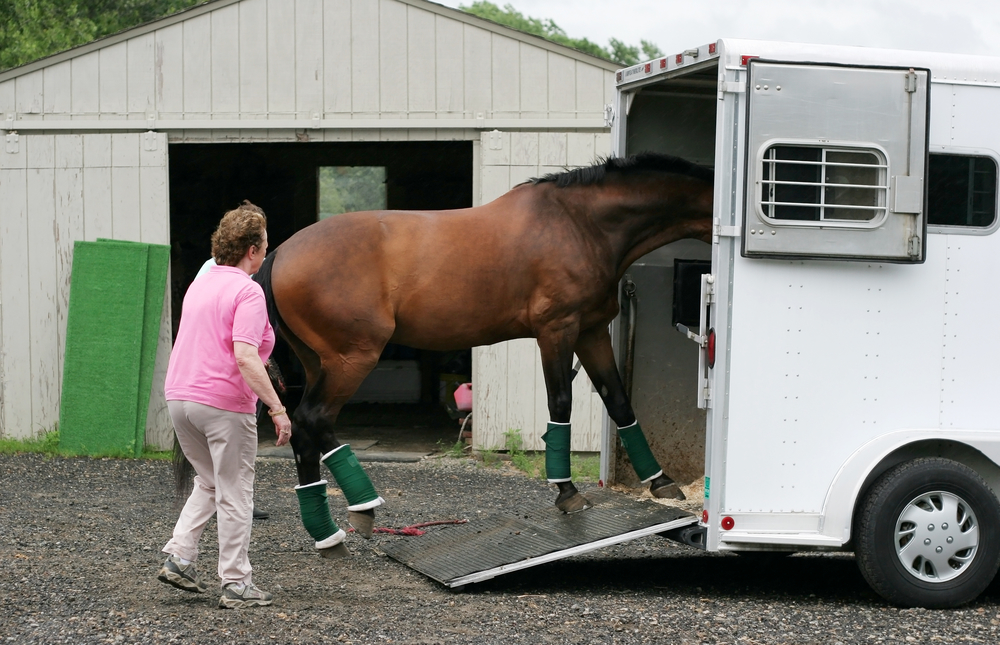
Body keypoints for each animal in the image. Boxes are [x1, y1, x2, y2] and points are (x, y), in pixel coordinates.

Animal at [252, 152, 715, 555]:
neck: (579, 223)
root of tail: (281, 254)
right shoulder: (557, 330)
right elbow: (560, 403)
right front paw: (566, 491)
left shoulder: (591, 332)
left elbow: (618, 401)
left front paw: (661, 482)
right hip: (353, 358)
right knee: (314, 419)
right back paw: (364, 507)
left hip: (321, 363)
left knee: (303, 430)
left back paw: (327, 535)